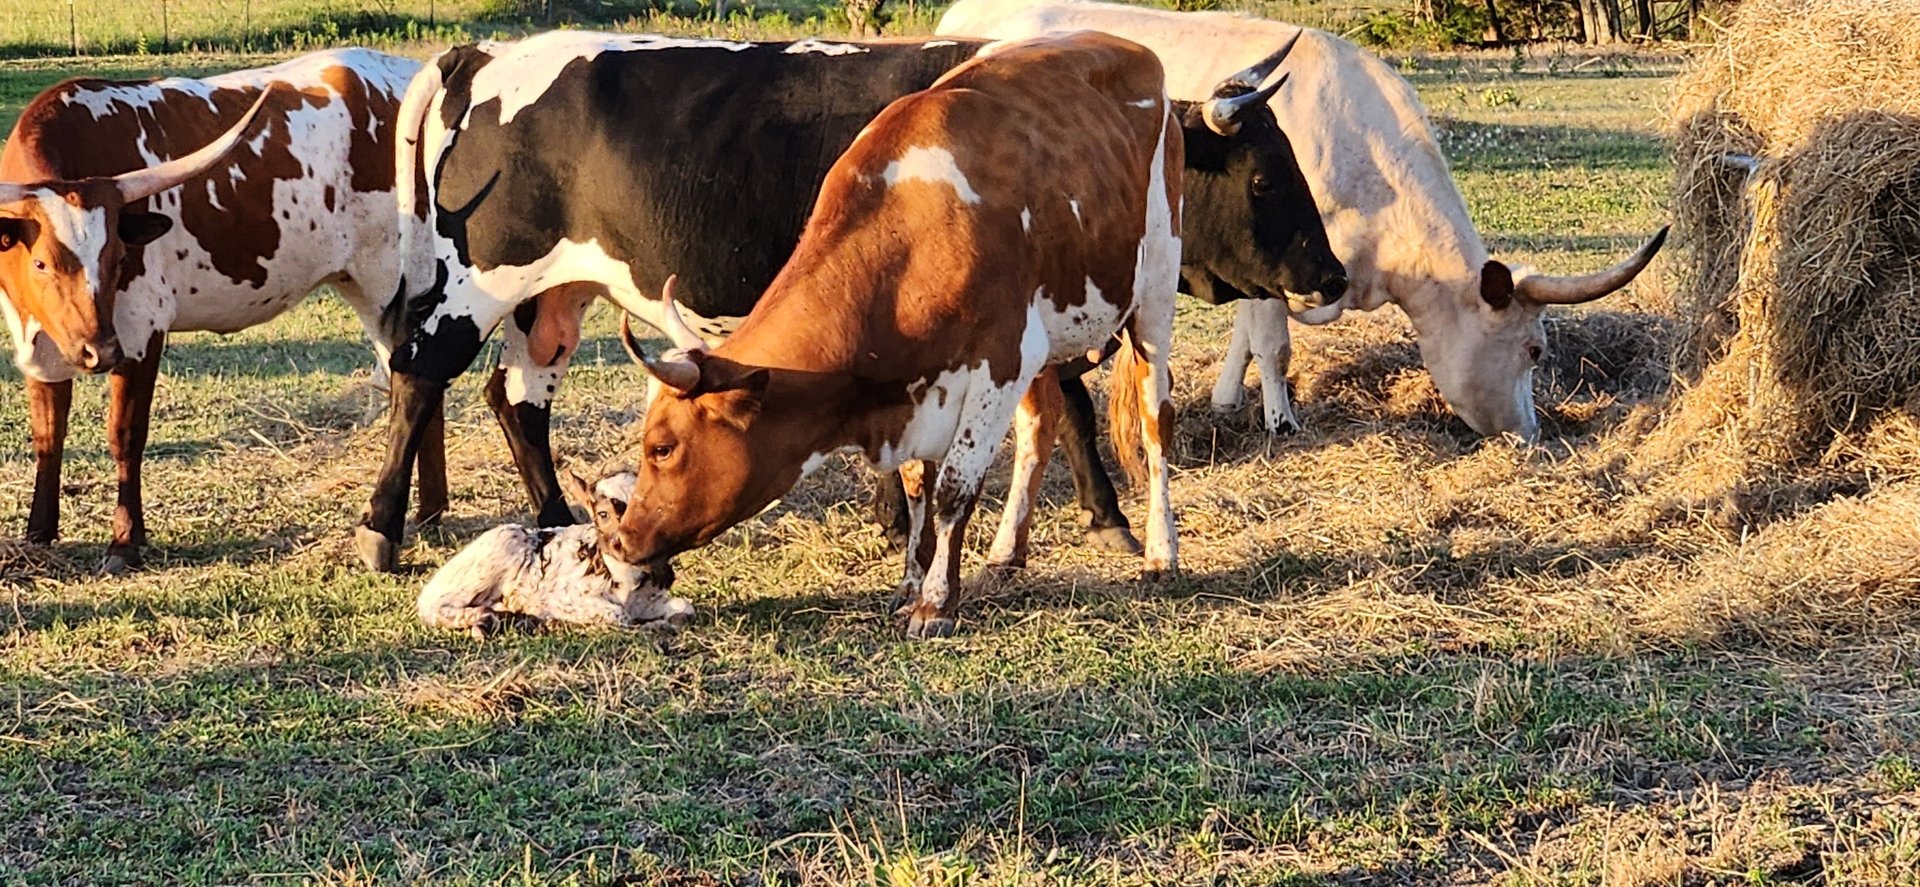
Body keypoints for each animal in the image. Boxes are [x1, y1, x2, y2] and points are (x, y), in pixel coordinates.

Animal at [0, 48, 428, 568]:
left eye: (119, 258)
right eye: (41, 262)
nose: (99, 353)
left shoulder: (141, 329)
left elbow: (125, 433)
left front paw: (126, 540)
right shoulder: (38, 339)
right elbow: (47, 434)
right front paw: (38, 533)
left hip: (389, 274)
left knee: (414, 382)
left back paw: (391, 528)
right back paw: (429, 512)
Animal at [353, 31, 1336, 572]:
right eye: (1264, 176)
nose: (1331, 278)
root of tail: (483, 55)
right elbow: (1071, 404)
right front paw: (1108, 519)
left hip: (554, 298)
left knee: (516, 400)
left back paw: (559, 520)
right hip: (473, 284)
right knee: (419, 378)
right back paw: (382, 529)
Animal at [416, 470, 695, 637]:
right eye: (603, 514)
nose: (630, 543)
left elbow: (685, 607)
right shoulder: (564, 597)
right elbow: (617, 615)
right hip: (493, 554)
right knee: (433, 606)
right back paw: (485, 617)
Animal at [614, 29, 1182, 637]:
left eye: (662, 447)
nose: (621, 541)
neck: (913, 232)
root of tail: (1131, 49)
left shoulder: (999, 361)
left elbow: (954, 488)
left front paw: (935, 603)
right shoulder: (925, 382)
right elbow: (916, 489)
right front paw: (910, 583)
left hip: (1155, 292)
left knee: (1154, 424)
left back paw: (1161, 553)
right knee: (1039, 429)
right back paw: (1005, 556)